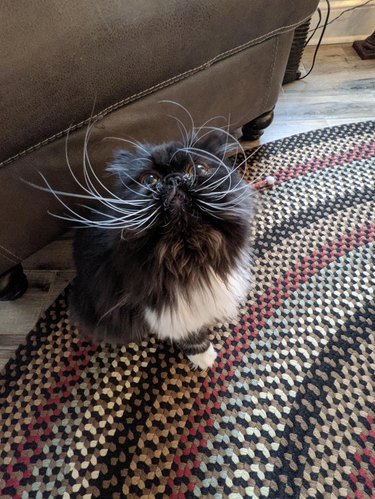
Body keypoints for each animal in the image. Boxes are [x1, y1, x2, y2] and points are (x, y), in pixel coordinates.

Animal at [67, 129, 256, 372]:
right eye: (150, 179)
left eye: (197, 168)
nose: (174, 178)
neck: (187, 256)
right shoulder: (164, 310)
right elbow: (189, 335)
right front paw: (204, 358)